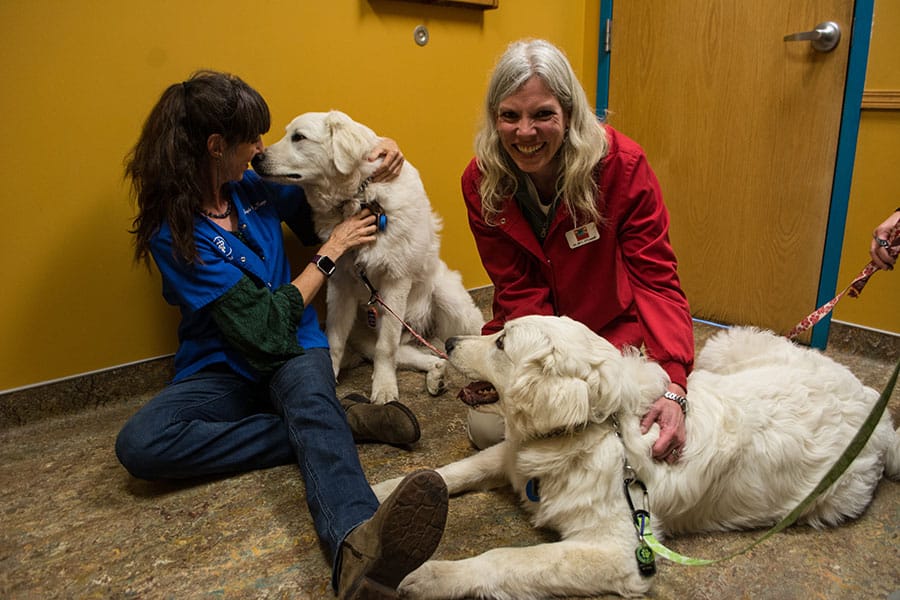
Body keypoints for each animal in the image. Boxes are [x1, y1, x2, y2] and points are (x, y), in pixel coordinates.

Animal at [251, 110, 486, 406]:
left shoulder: (395, 282)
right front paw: (332, 375)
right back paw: (436, 377)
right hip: (372, 340)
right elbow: (335, 341)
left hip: (452, 305)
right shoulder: (339, 284)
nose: (255, 159)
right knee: (432, 357)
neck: (360, 198)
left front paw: (384, 389)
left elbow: (386, 347)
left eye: (299, 137)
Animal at [372, 316, 900, 596]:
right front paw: (385, 491)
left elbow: (508, 557)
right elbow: (455, 470)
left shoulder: (621, 549)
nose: (449, 342)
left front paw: (435, 574)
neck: (597, 424)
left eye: (502, 342)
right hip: (728, 346)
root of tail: (875, 403)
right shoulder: (511, 457)